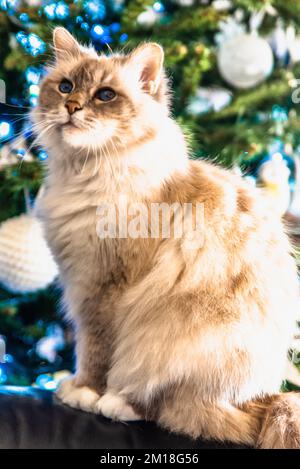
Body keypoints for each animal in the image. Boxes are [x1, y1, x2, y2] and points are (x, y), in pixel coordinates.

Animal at [32, 26, 300, 450]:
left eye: (105, 95)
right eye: (65, 86)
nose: (71, 106)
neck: (86, 175)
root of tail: (253, 397)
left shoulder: (103, 289)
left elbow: (94, 351)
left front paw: (83, 392)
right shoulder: (83, 282)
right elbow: (86, 347)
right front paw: (73, 387)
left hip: (167, 342)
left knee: (169, 406)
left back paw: (116, 403)